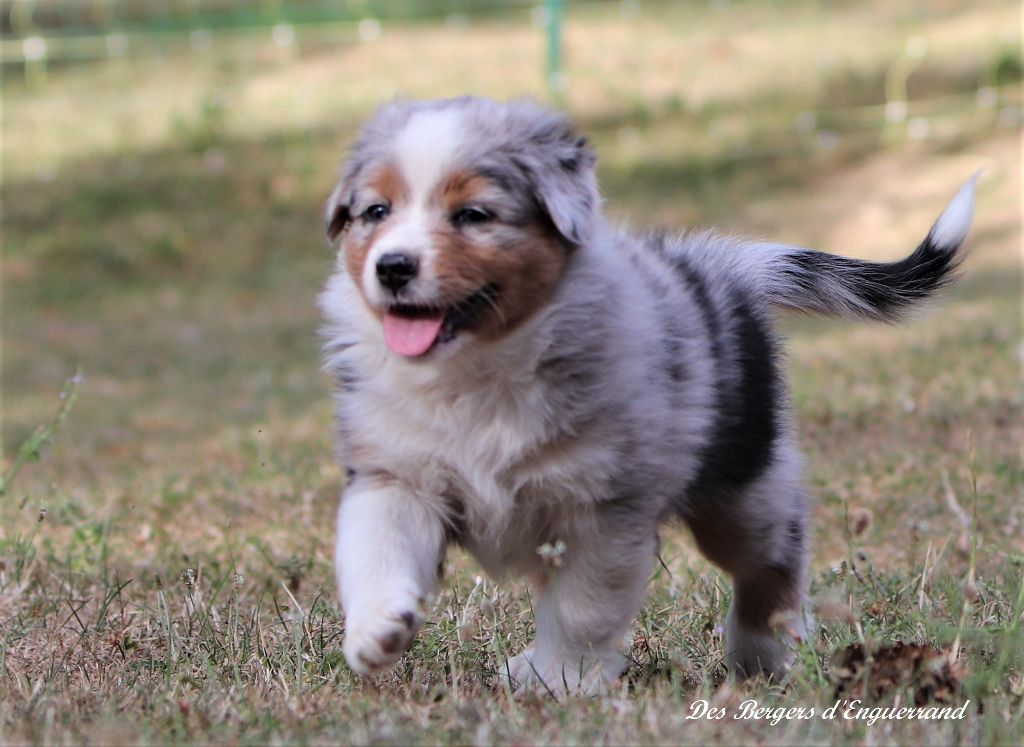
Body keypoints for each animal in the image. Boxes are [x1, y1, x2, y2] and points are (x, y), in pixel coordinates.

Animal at [319, 96, 974, 695]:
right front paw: (377, 632)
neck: (477, 370)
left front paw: (562, 680)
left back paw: (761, 654)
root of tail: (719, 267)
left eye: (473, 215)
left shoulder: (605, 510)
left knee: (775, 549)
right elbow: (376, 545)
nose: (393, 268)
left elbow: (581, 609)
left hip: (739, 490)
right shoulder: (396, 473)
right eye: (376, 211)